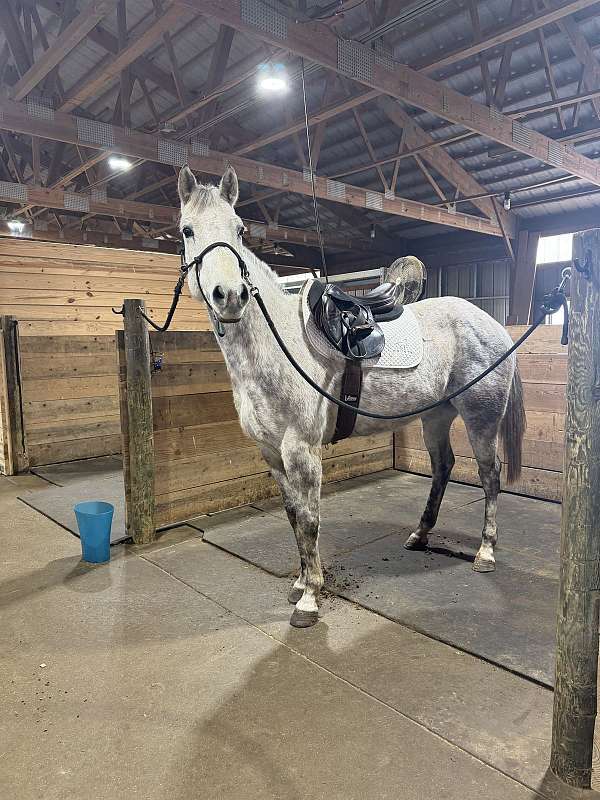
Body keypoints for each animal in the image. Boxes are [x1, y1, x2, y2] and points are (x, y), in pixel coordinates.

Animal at [177, 164, 526, 629]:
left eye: (239, 229)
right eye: (187, 230)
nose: (230, 296)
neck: (277, 345)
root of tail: (491, 323)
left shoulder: (301, 450)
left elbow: (310, 520)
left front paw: (310, 600)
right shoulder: (271, 453)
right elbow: (293, 516)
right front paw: (299, 584)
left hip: (481, 419)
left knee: (490, 475)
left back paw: (486, 552)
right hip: (436, 416)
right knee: (443, 467)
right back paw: (420, 534)